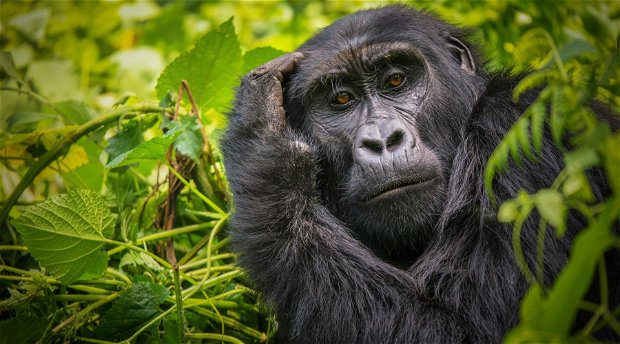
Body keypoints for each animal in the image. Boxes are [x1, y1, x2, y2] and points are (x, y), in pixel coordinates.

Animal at [220, 4, 616, 342]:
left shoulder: (526, 126)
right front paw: (263, 129)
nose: (382, 140)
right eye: (341, 100)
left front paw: (264, 146)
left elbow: (460, 329)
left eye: (395, 81)